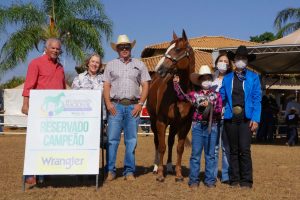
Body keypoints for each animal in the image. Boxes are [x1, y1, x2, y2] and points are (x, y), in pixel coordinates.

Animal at [147, 30, 195, 182]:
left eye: (178, 49)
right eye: (167, 48)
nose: (158, 69)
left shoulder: (185, 123)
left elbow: (179, 148)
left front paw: (179, 175)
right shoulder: (161, 121)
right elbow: (161, 146)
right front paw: (160, 174)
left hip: (174, 125)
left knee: (170, 141)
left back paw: (168, 166)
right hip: (153, 121)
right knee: (157, 142)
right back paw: (156, 167)